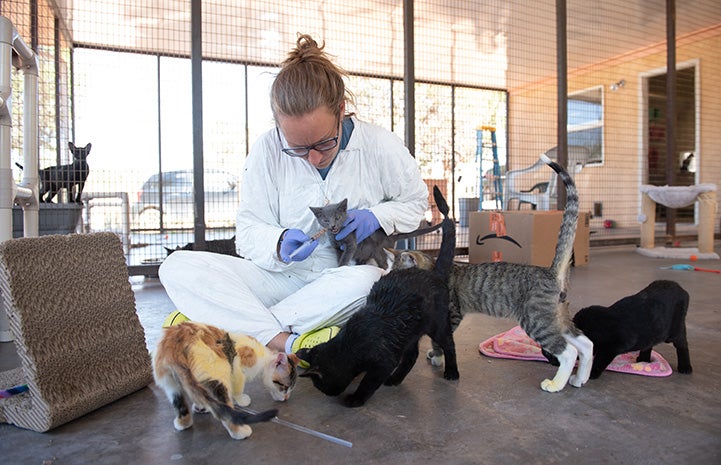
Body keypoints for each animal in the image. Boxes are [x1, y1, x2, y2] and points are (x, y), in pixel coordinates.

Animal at [153, 320, 296, 436]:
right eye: (284, 387)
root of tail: (175, 344)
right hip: (218, 372)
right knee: (225, 408)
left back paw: (183, 423)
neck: (263, 356)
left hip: (169, 381)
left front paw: (200, 407)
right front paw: (242, 400)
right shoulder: (237, 368)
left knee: (179, 402)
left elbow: (200, 396)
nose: (286, 398)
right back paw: (240, 432)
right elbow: (238, 387)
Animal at [310, 198, 444, 270]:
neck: (337, 236)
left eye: (337, 218)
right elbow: (339, 256)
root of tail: (390, 236)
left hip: (379, 251)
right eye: (326, 220)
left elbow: (346, 256)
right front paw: (339, 265)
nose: (333, 226)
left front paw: (341, 267)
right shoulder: (337, 248)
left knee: (384, 264)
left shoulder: (351, 243)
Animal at [544, 280, 692, 376]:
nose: (551, 362)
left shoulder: (617, 344)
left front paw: (591, 373)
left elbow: (601, 359)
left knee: (682, 345)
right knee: (648, 344)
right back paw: (643, 359)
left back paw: (685, 367)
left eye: (549, 354)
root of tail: (680, 288)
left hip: (675, 330)